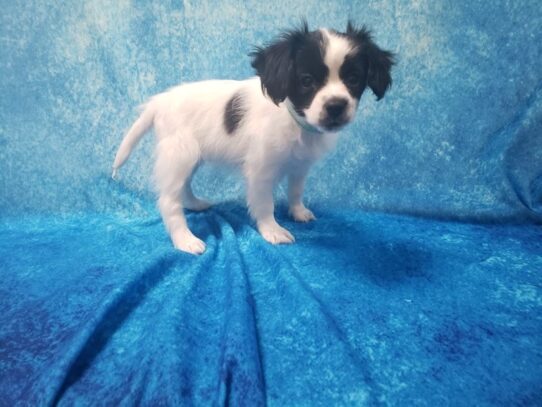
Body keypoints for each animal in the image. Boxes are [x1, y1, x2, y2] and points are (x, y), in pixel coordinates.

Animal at [113, 21, 396, 255]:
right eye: (307, 81)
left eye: (353, 80)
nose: (336, 106)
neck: (296, 121)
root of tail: (159, 102)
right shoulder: (261, 170)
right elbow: (264, 203)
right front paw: (272, 230)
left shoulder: (300, 166)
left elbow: (296, 191)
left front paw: (298, 212)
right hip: (180, 155)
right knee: (169, 202)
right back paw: (185, 240)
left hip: (191, 158)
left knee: (184, 186)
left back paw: (196, 204)